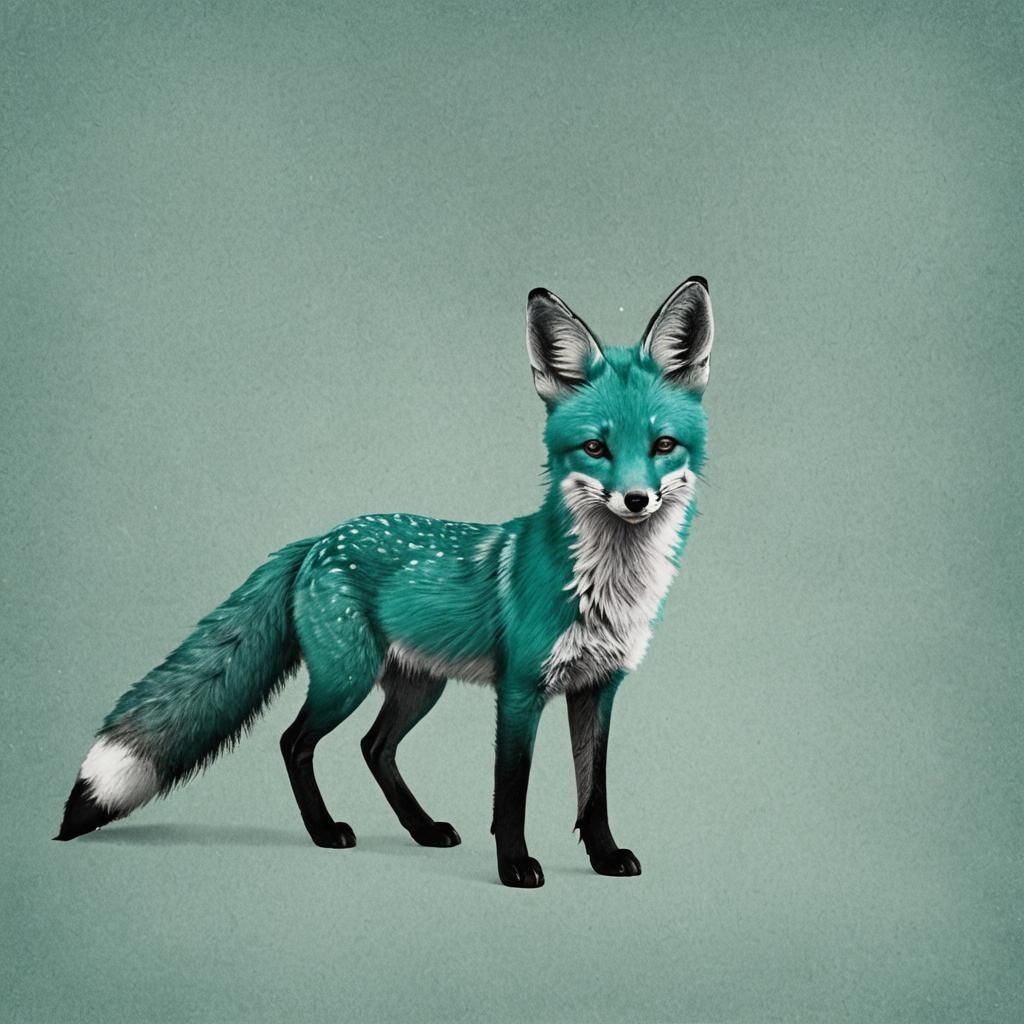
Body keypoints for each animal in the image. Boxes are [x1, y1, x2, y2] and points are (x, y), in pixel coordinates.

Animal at [55, 276, 715, 888]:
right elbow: (511, 791)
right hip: (347, 677)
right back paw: (325, 832)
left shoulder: (598, 689)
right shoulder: (520, 689)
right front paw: (514, 865)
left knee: (375, 748)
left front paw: (604, 857)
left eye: (663, 445)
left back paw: (421, 829)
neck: (606, 592)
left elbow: (592, 789)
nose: (636, 499)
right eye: (595, 448)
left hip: (418, 686)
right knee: (294, 742)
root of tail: (318, 538)